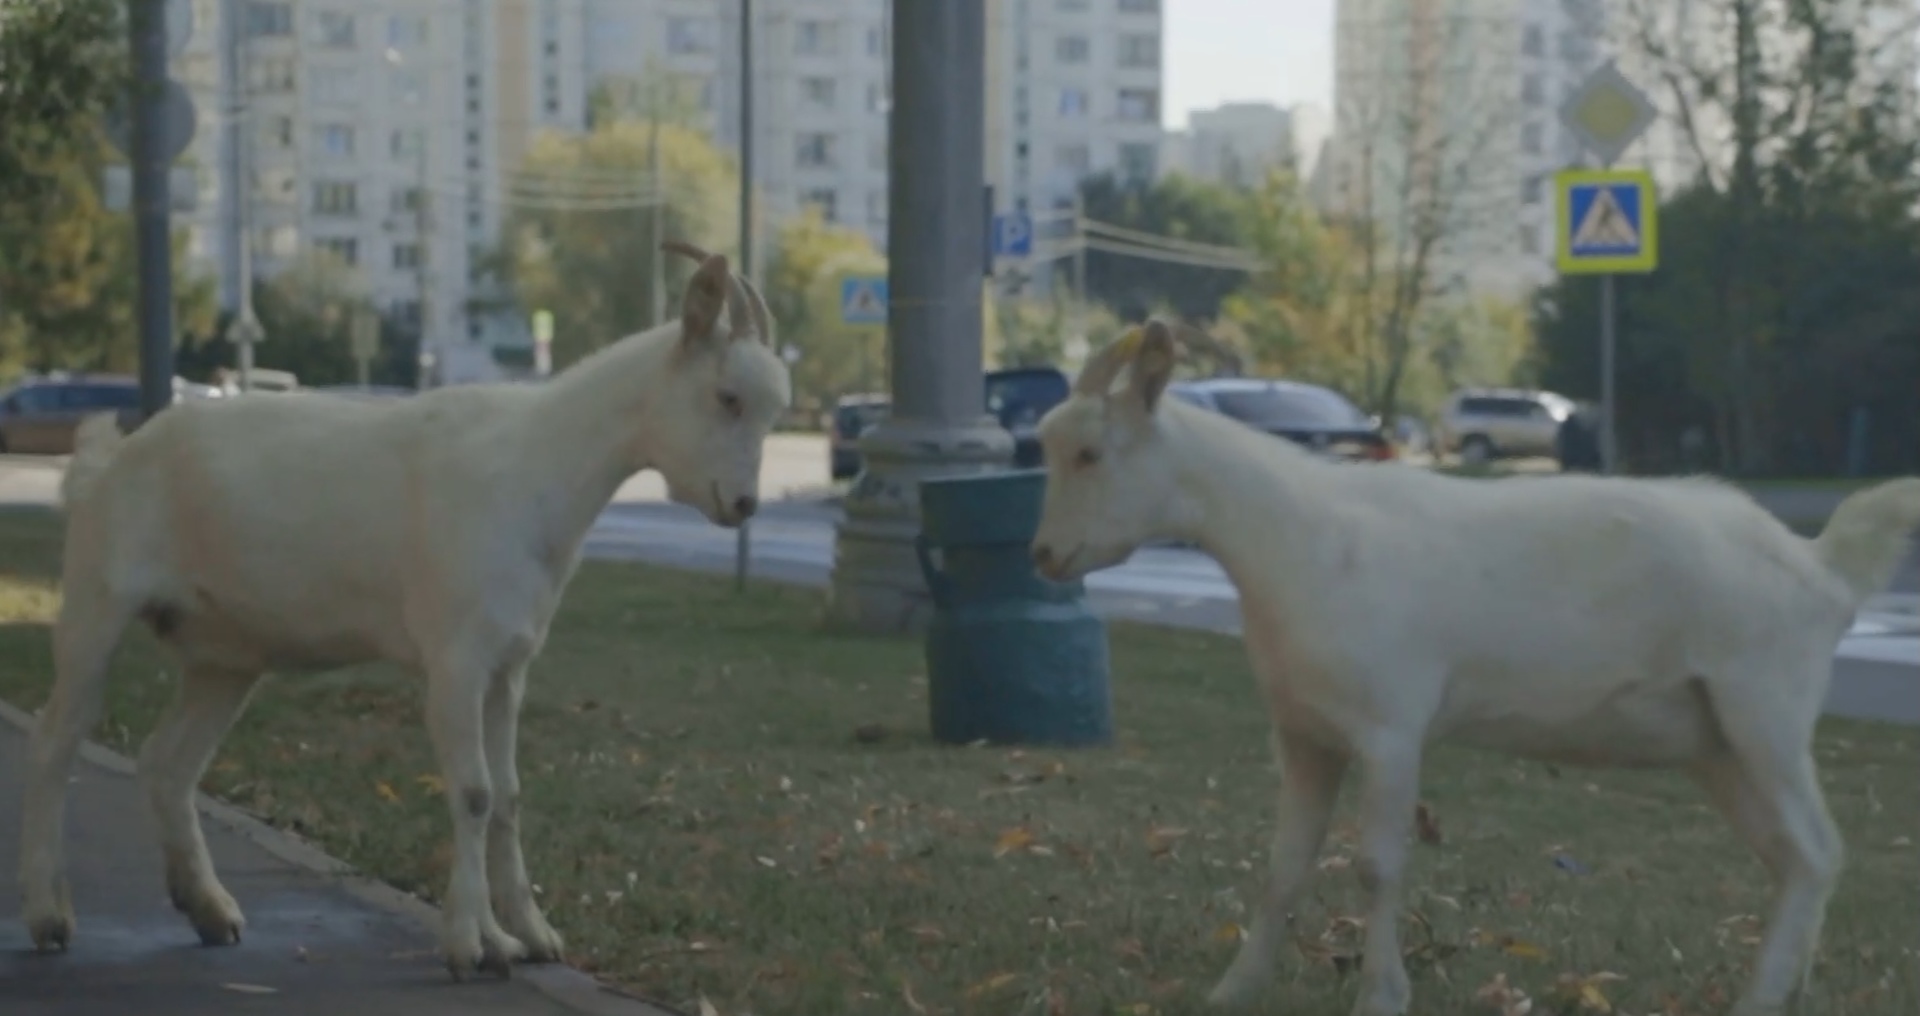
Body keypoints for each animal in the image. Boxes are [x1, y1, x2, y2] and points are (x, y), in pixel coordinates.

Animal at [22, 240, 787, 975]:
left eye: (772, 413)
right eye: (727, 397)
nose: (744, 503)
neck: (535, 471)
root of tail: (107, 462)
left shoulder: (508, 666)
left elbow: (508, 794)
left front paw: (533, 934)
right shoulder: (455, 659)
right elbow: (473, 791)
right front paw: (477, 944)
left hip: (224, 656)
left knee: (166, 763)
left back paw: (210, 910)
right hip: (95, 603)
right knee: (57, 743)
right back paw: (50, 916)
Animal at [1036, 318, 1920, 1014]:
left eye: (1089, 452)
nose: (1045, 554)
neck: (1299, 536)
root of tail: (1823, 568)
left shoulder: (1390, 726)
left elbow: (1377, 865)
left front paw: (1381, 996)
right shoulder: (1305, 733)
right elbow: (1283, 868)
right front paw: (1234, 990)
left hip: (1766, 709)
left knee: (1817, 850)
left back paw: (1760, 998)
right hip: (1716, 746)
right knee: (1792, 860)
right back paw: (1786, 993)